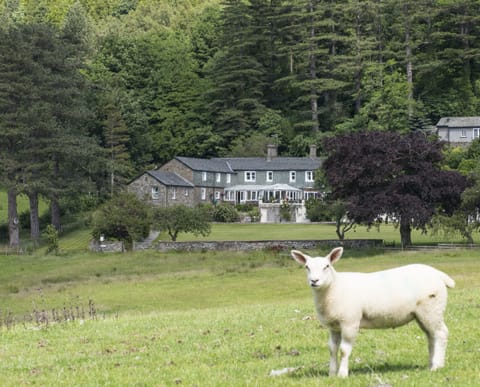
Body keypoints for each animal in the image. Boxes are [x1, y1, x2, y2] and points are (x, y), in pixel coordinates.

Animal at [292, 249, 454, 378]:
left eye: (327, 266)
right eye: (307, 267)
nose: (314, 281)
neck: (335, 286)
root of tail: (439, 275)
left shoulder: (350, 322)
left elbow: (344, 350)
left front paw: (342, 374)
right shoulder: (334, 326)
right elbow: (332, 349)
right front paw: (331, 374)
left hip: (432, 309)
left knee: (441, 334)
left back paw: (437, 367)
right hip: (422, 314)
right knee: (431, 337)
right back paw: (432, 364)